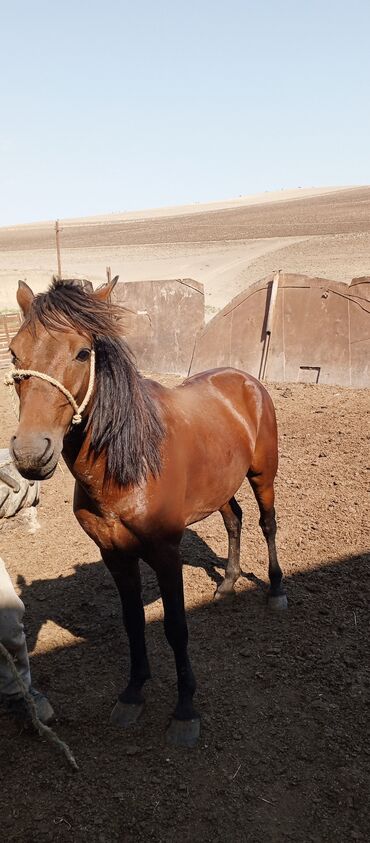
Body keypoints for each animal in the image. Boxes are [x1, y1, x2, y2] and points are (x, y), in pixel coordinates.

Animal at [7, 280, 286, 748]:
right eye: (13, 353)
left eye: (82, 353)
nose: (31, 453)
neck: (127, 465)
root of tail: (245, 379)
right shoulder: (115, 555)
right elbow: (133, 622)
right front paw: (134, 692)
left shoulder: (166, 553)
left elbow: (175, 626)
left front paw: (185, 709)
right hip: (221, 486)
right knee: (234, 520)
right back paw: (228, 582)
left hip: (262, 474)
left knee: (267, 523)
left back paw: (277, 590)